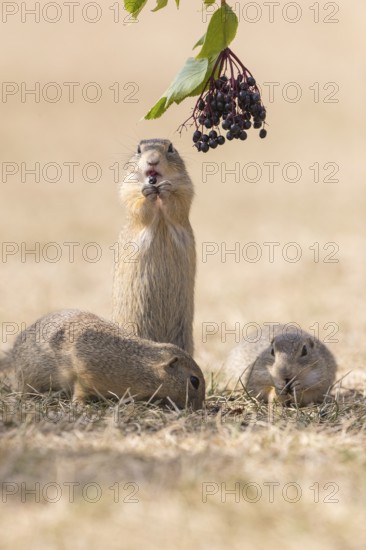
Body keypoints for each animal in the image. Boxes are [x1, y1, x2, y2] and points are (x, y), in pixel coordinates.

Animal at [0, 310, 206, 410]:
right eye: (194, 381)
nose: (198, 408)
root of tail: (12, 356)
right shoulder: (85, 372)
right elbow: (80, 390)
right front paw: (80, 405)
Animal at [112, 140, 196, 356]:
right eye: (138, 149)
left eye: (171, 148)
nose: (152, 160)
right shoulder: (129, 188)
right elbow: (138, 206)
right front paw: (147, 194)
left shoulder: (186, 187)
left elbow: (178, 203)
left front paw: (166, 190)